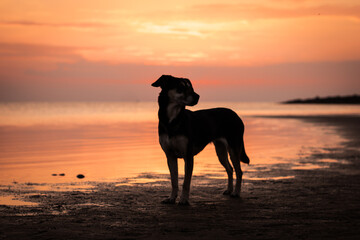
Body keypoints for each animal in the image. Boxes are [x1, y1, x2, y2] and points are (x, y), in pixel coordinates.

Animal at [150, 74, 249, 204]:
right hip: (220, 150)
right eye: (181, 87)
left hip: (233, 148)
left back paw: (236, 193)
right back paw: (229, 190)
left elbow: (186, 183)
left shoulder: (188, 156)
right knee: (230, 169)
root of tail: (236, 115)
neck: (172, 120)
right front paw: (171, 198)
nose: (198, 96)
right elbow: (174, 181)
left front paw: (183, 200)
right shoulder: (170, 156)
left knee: (239, 171)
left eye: (191, 87)